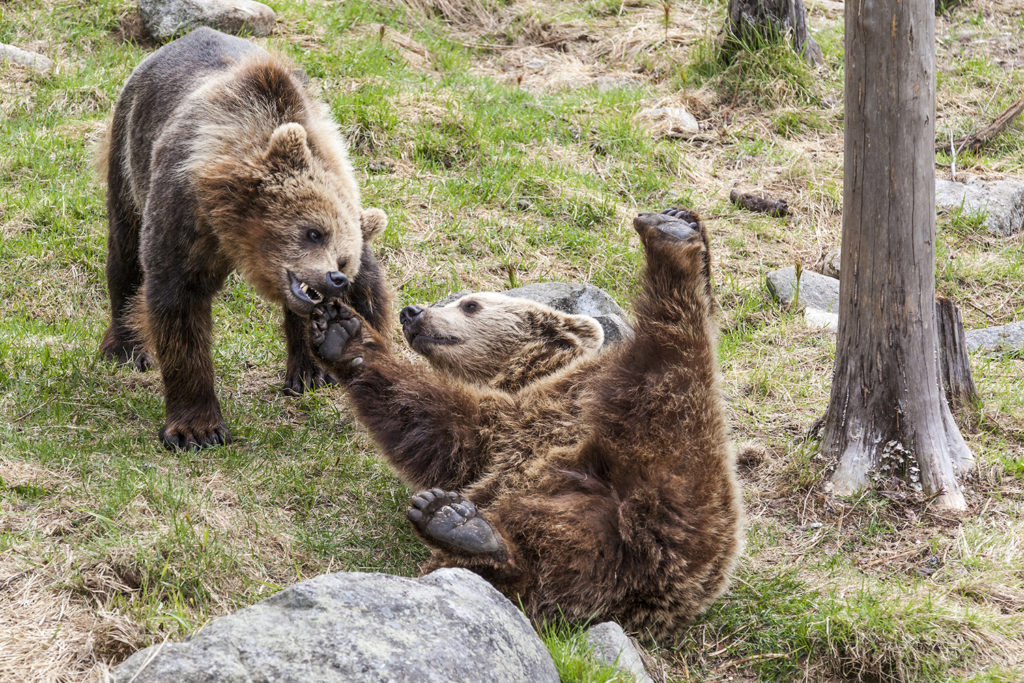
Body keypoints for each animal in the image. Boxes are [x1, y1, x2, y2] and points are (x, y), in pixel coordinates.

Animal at [98, 28, 391, 454]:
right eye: (313, 231)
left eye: (344, 260)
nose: (334, 279)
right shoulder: (184, 215)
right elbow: (179, 305)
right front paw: (197, 430)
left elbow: (368, 297)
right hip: (128, 151)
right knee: (125, 251)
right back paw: (125, 348)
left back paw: (307, 373)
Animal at [307, 209, 741, 643]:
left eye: (471, 304)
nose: (412, 311)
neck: (528, 375)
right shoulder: (496, 441)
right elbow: (435, 433)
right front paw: (342, 333)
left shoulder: (547, 406)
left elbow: (443, 416)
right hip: (585, 544)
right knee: (538, 568)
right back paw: (461, 525)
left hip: (679, 463)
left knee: (671, 363)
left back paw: (672, 240)